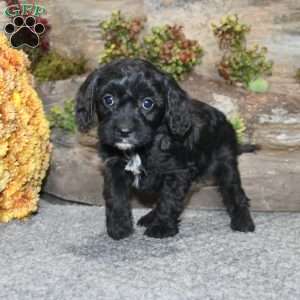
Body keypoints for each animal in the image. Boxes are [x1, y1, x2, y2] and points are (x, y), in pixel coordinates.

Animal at [75, 58, 255, 240]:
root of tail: (224, 119)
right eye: (108, 99)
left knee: (235, 192)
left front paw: (162, 227)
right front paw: (119, 228)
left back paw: (243, 221)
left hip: (226, 162)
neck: (142, 148)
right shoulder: (114, 167)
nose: (124, 131)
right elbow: (115, 197)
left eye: (147, 103)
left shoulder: (177, 171)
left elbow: (169, 199)